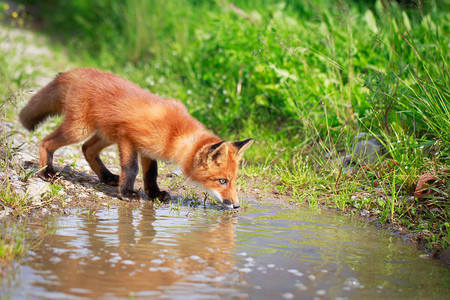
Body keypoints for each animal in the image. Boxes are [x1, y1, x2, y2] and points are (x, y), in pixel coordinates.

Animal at [19, 68, 251, 209]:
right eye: (222, 181)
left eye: (232, 180)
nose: (236, 205)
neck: (175, 134)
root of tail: (80, 71)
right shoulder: (128, 138)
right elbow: (131, 168)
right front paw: (127, 193)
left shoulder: (148, 149)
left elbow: (151, 174)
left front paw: (154, 194)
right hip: (79, 130)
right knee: (46, 142)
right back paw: (46, 172)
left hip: (106, 134)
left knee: (87, 149)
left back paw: (107, 177)